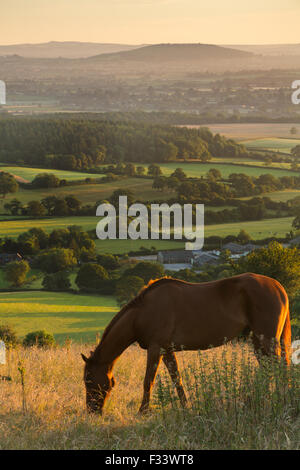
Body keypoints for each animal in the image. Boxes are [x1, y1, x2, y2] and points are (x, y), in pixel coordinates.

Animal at [81, 274, 290, 414]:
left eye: (88, 380)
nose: (92, 411)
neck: (142, 313)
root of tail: (277, 286)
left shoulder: (156, 349)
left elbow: (148, 380)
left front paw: (143, 411)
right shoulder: (167, 351)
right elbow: (177, 379)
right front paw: (186, 407)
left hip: (266, 339)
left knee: (276, 368)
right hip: (258, 340)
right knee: (268, 368)